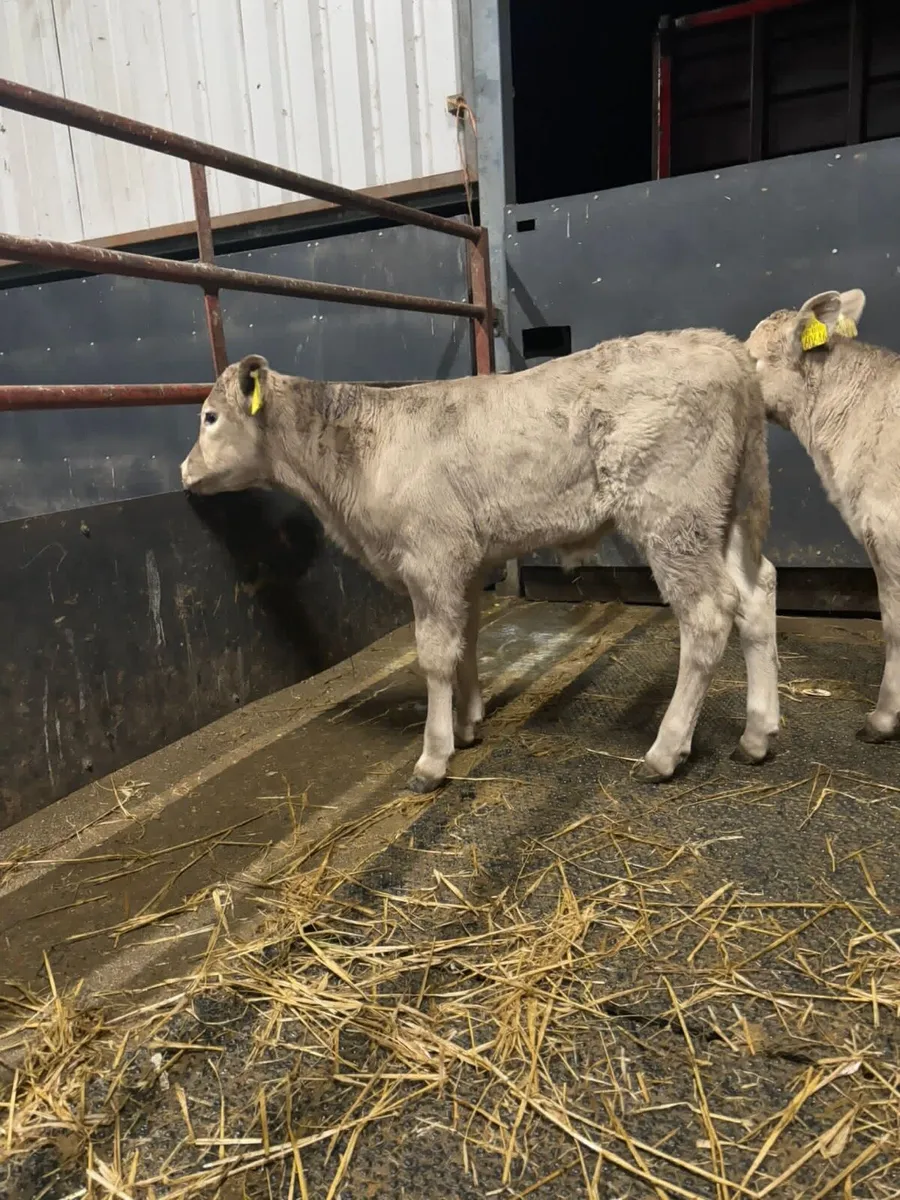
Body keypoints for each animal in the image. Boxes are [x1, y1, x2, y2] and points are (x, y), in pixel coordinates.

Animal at [181, 334, 779, 793]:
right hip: (729, 512)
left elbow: (434, 654)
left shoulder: (431, 557)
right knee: (757, 594)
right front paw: (468, 723)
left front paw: (433, 757)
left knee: (708, 614)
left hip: (673, 514)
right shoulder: (462, 563)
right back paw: (756, 735)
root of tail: (722, 347)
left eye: (210, 417)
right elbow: (465, 637)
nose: (185, 472)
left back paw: (665, 751)